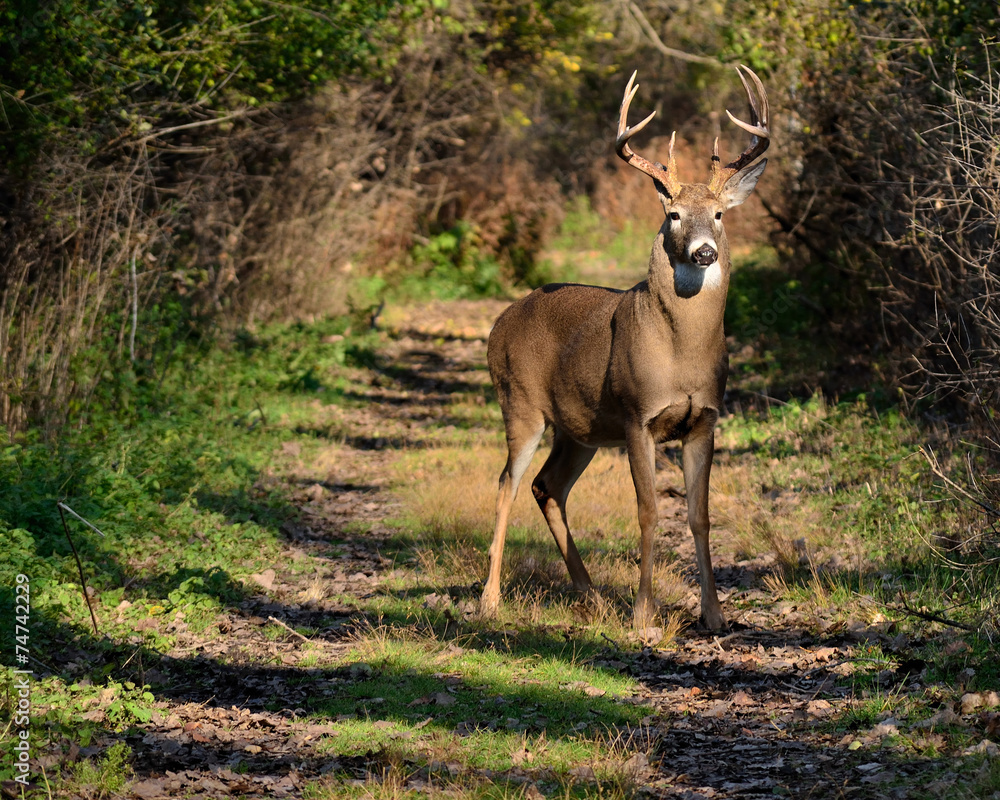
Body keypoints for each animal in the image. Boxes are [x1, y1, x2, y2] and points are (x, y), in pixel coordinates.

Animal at [479, 66, 770, 631]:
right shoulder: (639, 415)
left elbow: (699, 515)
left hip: (578, 428)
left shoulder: (704, 419)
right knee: (505, 484)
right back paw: (490, 600)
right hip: (519, 403)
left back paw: (590, 596)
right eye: (673, 214)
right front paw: (642, 614)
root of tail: (498, 325)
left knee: (547, 486)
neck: (682, 355)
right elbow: (650, 511)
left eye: (720, 214)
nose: (704, 252)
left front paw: (714, 614)